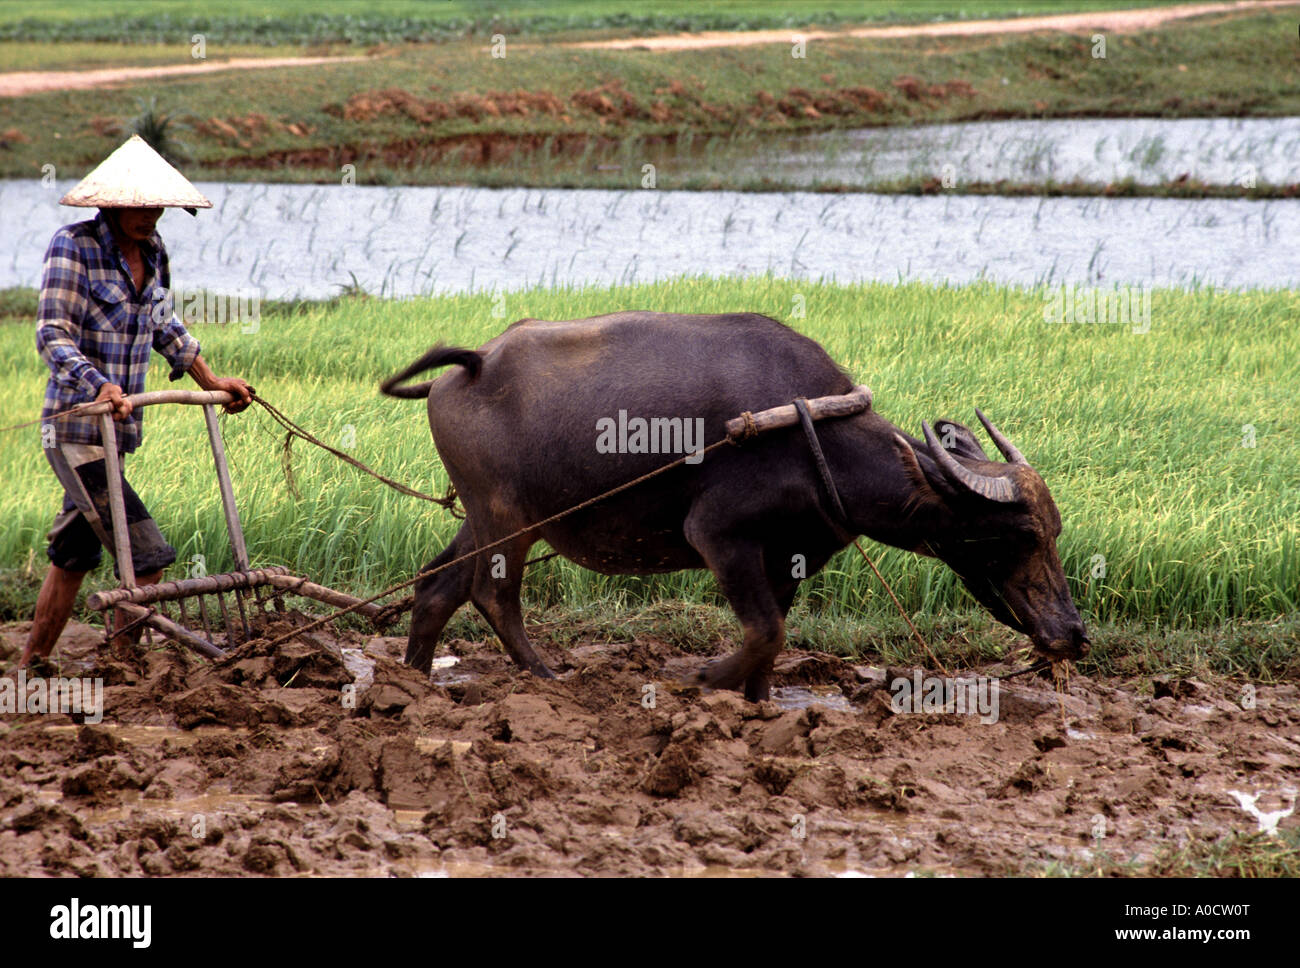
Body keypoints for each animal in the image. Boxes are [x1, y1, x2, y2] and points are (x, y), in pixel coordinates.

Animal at [379, 313, 1086, 696]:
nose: (1073, 636)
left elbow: (773, 639)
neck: (812, 438)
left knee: (437, 585)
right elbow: (765, 631)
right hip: (509, 520)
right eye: (1019, 536)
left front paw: (758, 702)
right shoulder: (720, 536)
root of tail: (475, 362)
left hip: (486, 517)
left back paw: (414, 680)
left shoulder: (792, 558)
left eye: (1053, 534)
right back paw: (547, 678)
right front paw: (700, 681)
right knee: (492, 594)